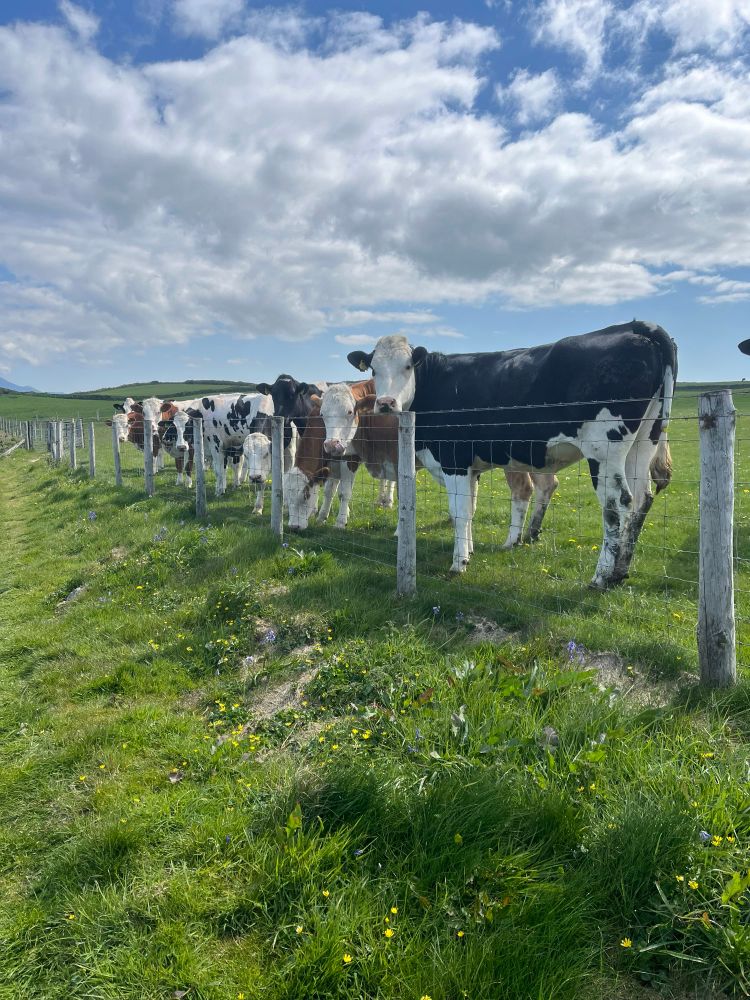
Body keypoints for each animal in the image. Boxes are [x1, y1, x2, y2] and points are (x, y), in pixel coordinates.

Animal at [348, 320, 676, 589]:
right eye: (374, 369)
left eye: (407, 367)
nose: (386, 403)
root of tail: (638, 326)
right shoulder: (469, 467)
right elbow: (469, 510)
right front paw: (468, 551)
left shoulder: (454, 459)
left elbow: (460, 512)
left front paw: (459, 563)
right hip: (643, 441)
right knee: (642, 498)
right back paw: (620, 572)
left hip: (604, 449)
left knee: (617, 504)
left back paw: (601, 577)